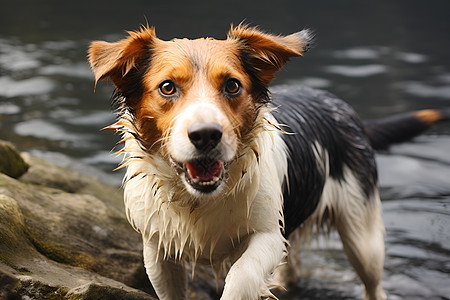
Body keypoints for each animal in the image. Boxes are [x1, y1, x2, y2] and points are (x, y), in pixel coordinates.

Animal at [89, 24, 450, 300]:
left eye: (232, 85)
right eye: (167, 87)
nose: (206, 135)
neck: (200, 199)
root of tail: (340, 106)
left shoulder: (268, 236)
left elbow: (242, 277)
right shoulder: (158, 248)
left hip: (363, 236)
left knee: (374, 285)